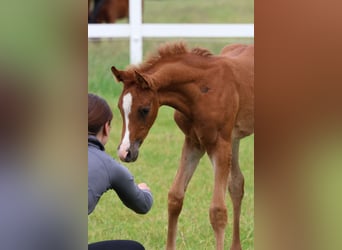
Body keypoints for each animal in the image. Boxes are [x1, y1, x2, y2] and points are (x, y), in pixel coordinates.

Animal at [111, 42, 252, 250]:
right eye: (120, 108)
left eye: (144, 109)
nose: (125, 152)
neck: (203, 90)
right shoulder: (194, 142)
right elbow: (175, 197)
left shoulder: (219, 144)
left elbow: (217, 211)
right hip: (234, 139)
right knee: (236, 184)